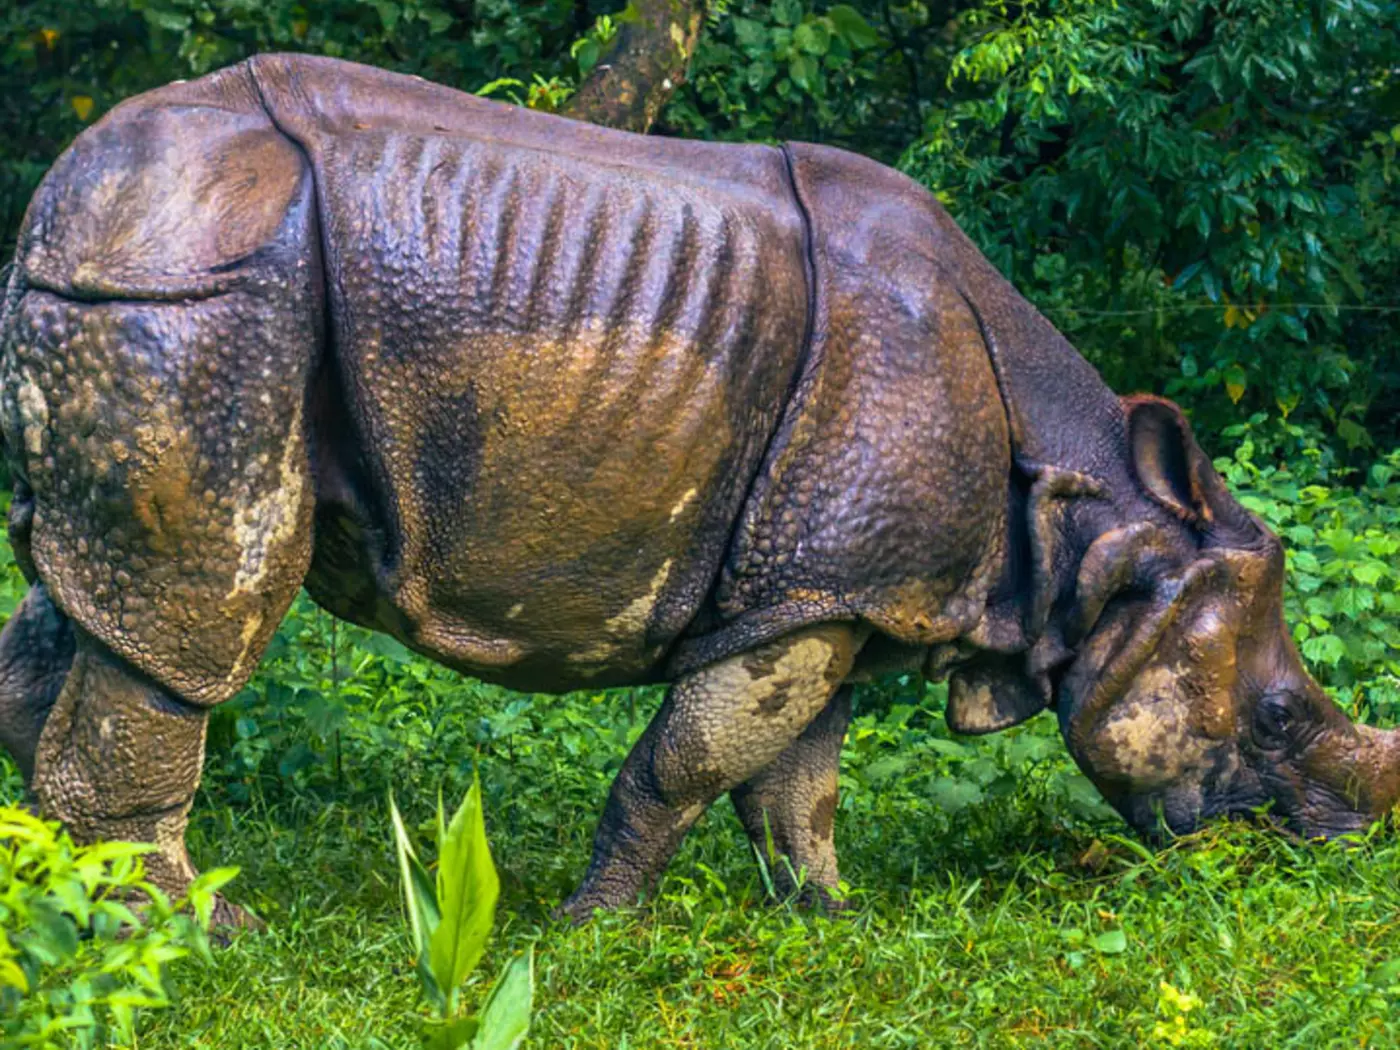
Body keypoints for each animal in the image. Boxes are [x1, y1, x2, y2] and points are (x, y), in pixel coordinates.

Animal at [0, 54, 1395, 926]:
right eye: (1276, 718)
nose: (1334, 851)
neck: (1090, 523)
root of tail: (62, 203)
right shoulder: (810, 593)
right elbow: (685, 766)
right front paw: (587, 932)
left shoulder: (837, 591)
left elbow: (796, 783)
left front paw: (830, 921)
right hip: (205, 292)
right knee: (192, 626)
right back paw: (198, 932)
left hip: (144, 289)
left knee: (83, 598)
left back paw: (66, 896)